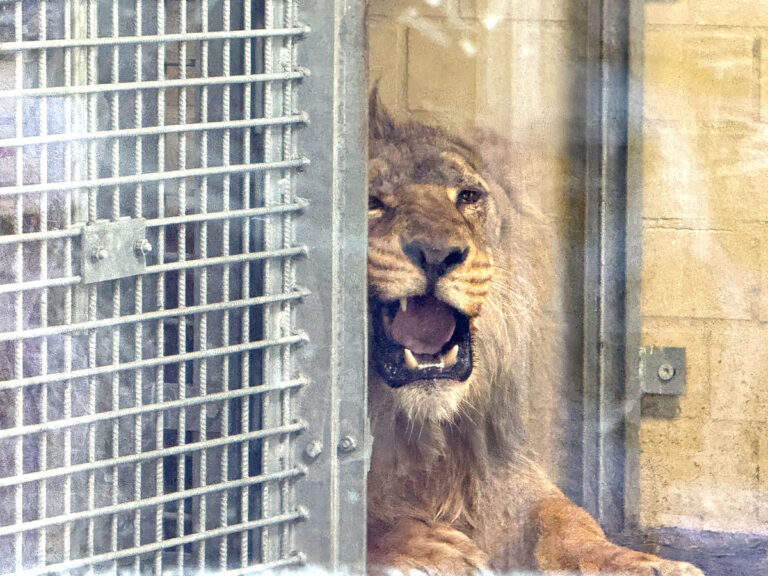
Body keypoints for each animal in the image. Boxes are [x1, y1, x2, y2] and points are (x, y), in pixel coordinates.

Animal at [365, 94, 705, 576]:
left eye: (468, 196)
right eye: (371, 201)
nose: (436, 253)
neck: (418, 431)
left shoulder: (505, 475)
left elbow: (569, 518)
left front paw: (642, 563)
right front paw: (428, 547)